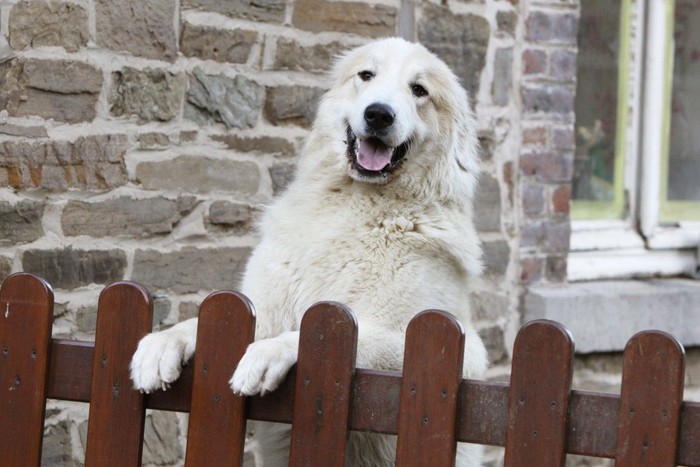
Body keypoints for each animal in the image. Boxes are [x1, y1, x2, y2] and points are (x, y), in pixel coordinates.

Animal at [134, 37, 490, 467]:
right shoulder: (263, 308)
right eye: (366, 75)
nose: (378, 114)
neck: (359, 204)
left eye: (419, 90)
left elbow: (314, 335)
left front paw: (267, 355)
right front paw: (161, 344)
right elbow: (199, 323)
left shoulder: (449, 347)